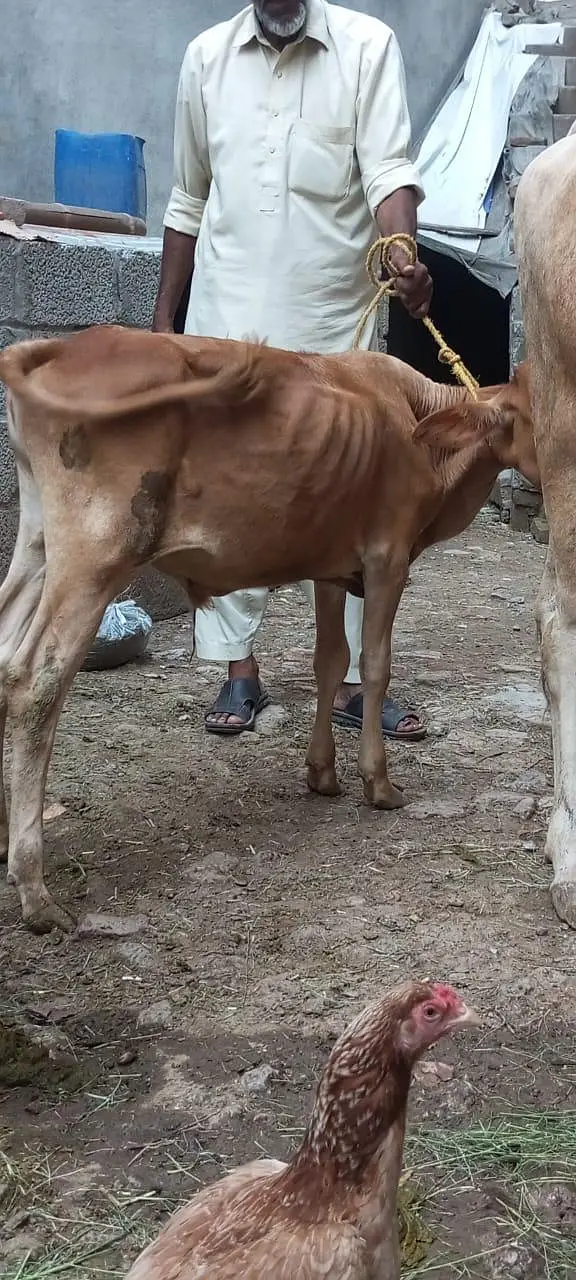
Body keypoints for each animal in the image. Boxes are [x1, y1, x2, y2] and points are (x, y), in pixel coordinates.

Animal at [0, 325, 536, 933]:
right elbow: (374, 666)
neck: (418, 422)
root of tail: (66, 345)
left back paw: (3, 839)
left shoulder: (333, 564)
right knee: (35, 683)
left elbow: (331, 662)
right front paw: (378, 783)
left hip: (39, 539)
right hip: (95, 552)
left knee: (5, 657)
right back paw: (35, 889)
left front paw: (322, 773)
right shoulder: (387, 558)